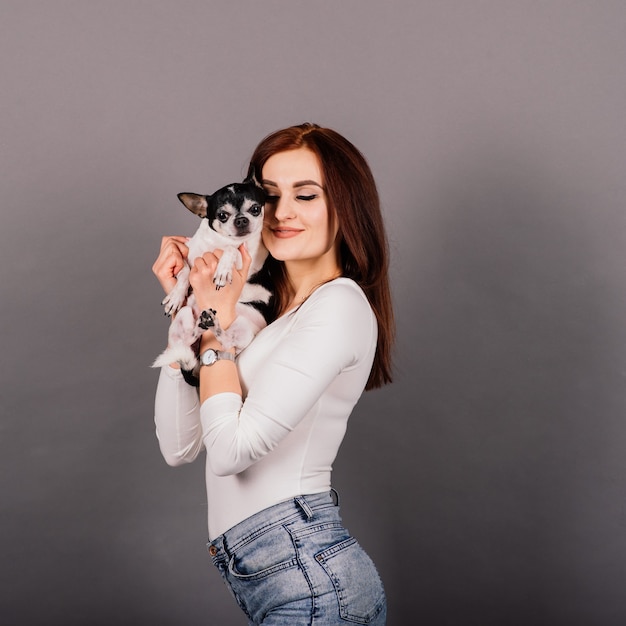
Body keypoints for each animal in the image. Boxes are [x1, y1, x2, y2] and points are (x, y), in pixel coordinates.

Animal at [152, 178, 270, 378]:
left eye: (255, 209)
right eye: (222, 215)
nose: (241, 220)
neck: (220, 242)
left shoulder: (246, 260)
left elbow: (232, 250)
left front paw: (223, 270)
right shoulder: (188, 257)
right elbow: (185, 272)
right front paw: (175, 296)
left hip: (245, 327)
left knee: (226, 341)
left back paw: (212, 325)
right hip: (183, 317)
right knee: (186, 339)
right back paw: (200, 326)